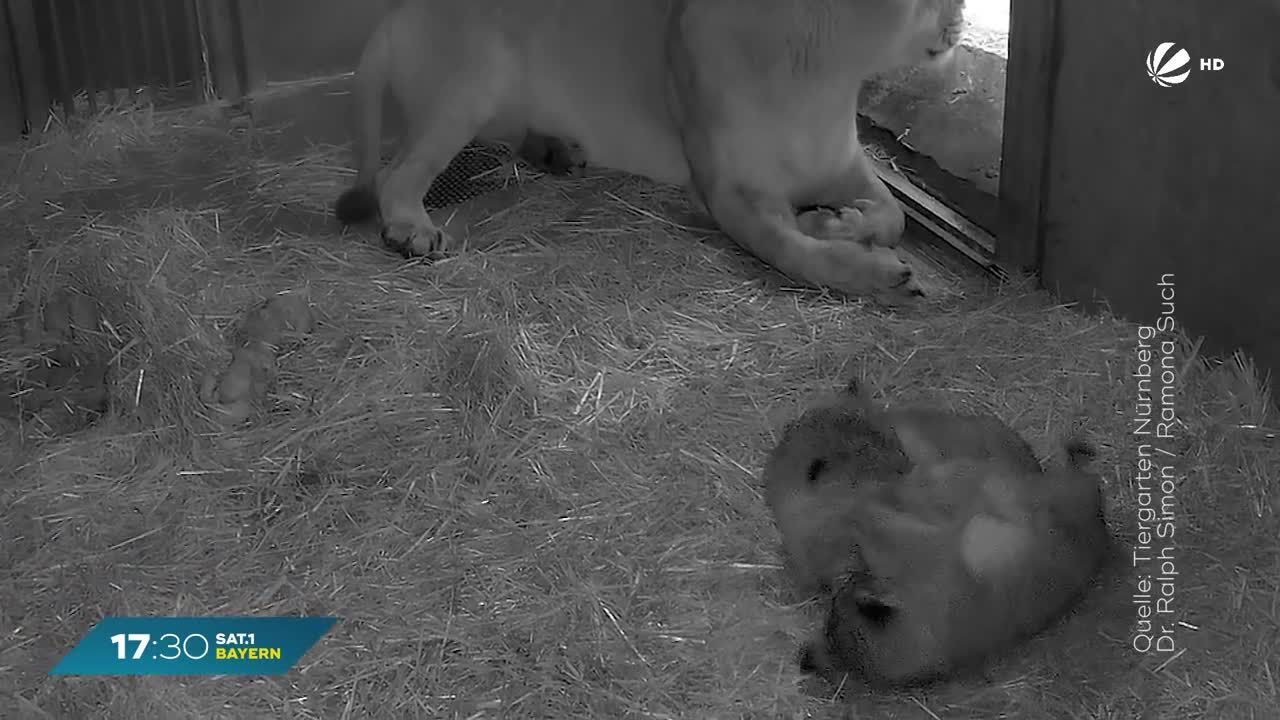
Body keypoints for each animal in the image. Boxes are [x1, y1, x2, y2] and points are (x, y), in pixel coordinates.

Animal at [333, 0, 967, 302]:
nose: (962, 15)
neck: (826, 74)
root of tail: (398, 14)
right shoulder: (730, 193)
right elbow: (792, 251)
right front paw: (877, 274)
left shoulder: (843, 163)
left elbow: (895, 212)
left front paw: (839, 221)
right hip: (469, 82)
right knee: (396, 173)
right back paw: (414, 230)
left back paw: (554, 148)